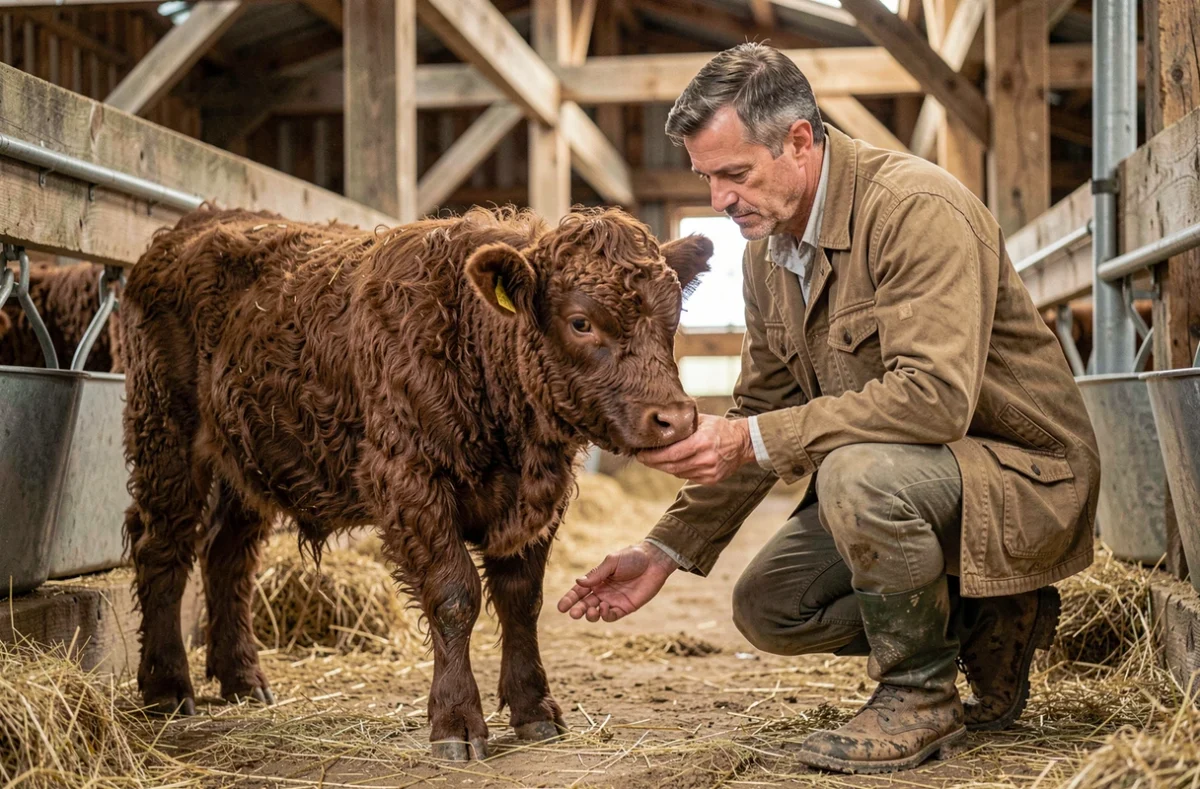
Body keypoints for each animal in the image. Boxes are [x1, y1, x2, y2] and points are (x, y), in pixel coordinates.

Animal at [120, 205, 712, 761]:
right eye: (581, 322)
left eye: (672, 317)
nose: (676, 418)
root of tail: (193, 225)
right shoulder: (411, 483)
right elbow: (454, 595)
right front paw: (457, 722)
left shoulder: (536, 503)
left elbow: (521, 599)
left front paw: (534, 708)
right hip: (167, 437)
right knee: (163, 549)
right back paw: (167, 686)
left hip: (248, 462)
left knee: (227, 558)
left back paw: (243, 679)